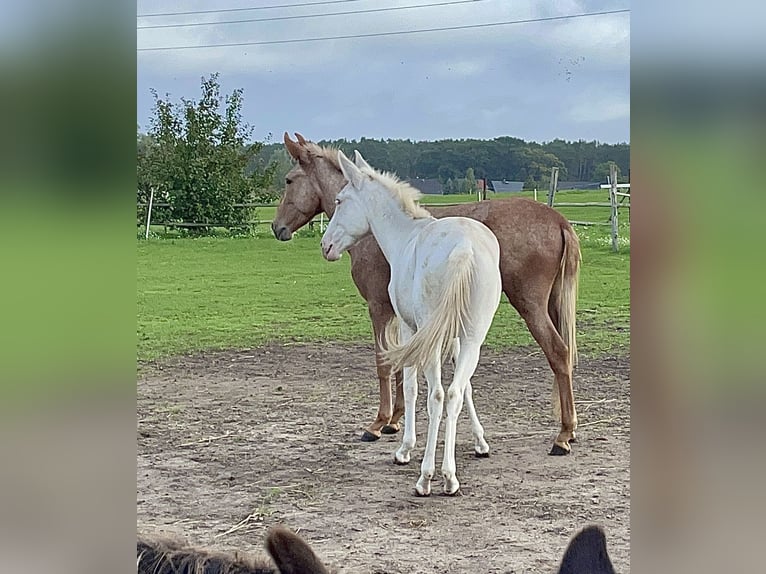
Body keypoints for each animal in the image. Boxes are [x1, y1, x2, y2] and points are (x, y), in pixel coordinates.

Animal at [272, 133, 580, 456]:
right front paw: (395, 420)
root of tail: (558, 220)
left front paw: (379, 423)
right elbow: (401, 363)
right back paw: (567, 431)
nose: (277, 227)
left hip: (530, 306)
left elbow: (385, 363)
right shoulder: (401, 316)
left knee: (558, 352)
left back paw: (563, 434)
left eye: (289, 180)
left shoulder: (379, 308)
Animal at [320, 151, 504, 498]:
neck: (406, 237)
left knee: (437, 396)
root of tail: (464, 248)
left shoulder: (409, 329)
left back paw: (430, 477)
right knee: (454, 393)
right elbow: (467, 388)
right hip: (473, 338)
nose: (325, 246)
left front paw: (404, 448)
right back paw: (450, 477)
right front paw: (480, 442)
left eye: (340, 200)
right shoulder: (456, 338)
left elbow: (409, 386)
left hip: (431, 342)